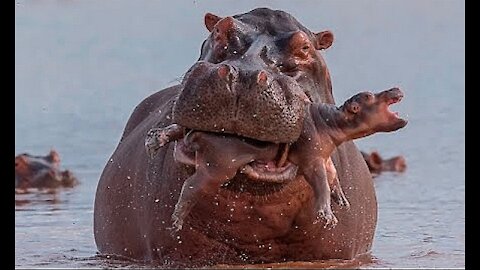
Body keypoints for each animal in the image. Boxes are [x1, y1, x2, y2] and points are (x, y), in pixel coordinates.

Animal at [147, 87, 408, 231]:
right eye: (368, 96)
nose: (394, 88)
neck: (331, 120)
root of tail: (199, 134)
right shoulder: (312, 159)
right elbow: (321, 184)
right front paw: (328, 217)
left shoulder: (323, 157)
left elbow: (332, 176)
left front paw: (342, 201)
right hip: (218, 167)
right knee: (191, 186)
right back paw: (176, 221)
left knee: (177, 128)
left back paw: (154, 140)